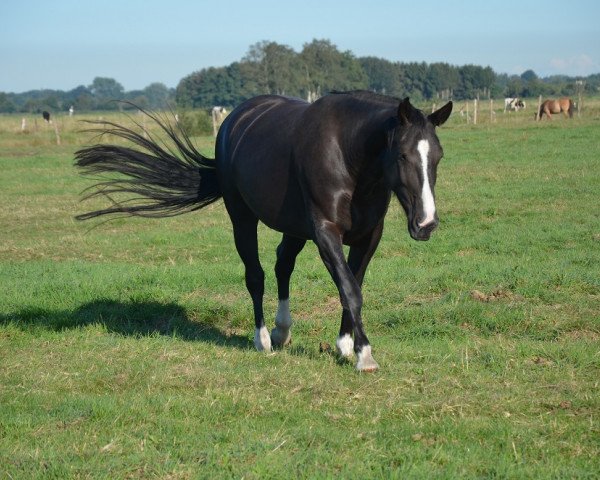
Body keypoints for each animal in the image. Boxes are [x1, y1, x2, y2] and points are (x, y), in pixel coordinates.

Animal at [74, 93, 450, 372]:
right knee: (255, 276)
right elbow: (350, 289)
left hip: (294, 227)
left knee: (282, 264)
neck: (347, 153)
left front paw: (346, 346)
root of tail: (235, 120)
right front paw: (364, 355)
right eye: (402, 155)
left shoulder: (368, 235)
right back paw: (264, 339)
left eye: (438, 156)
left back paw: (283, 330)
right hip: (243, 218)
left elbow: (353, 284)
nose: (426, 223)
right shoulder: (326, 232)